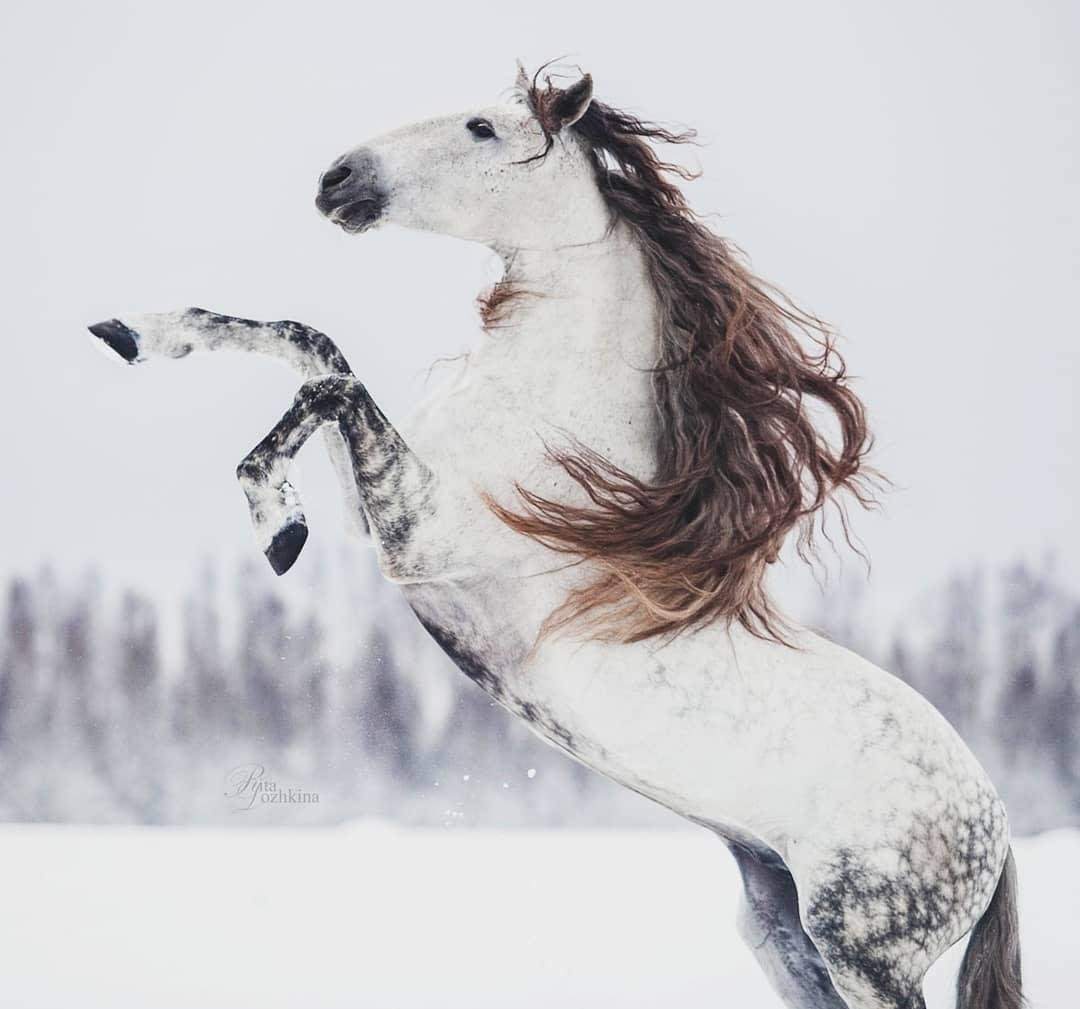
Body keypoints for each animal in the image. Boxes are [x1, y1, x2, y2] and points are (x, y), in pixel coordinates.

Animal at [88, 66, 1022, 1009]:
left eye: (482, 128)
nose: (337, 178)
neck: (554, 416)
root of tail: (999, 827)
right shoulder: (382, 515)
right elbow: (307, 343)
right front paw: (137, 333)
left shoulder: (418, 534)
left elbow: (330, 388)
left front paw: (277, 525)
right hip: (779, 930)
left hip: (863, 950)